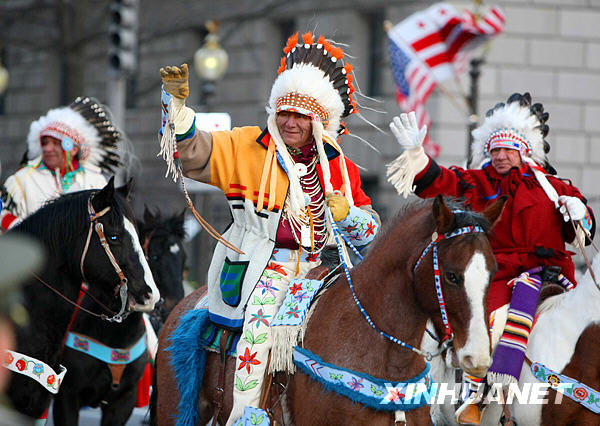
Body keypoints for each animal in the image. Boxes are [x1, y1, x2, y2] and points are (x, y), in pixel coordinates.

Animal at [53, 205, 186, 424]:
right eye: (155, 256)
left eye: (184, 262)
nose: (173, 306)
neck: (115, 334)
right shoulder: (68, 395)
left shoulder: (123, 401)